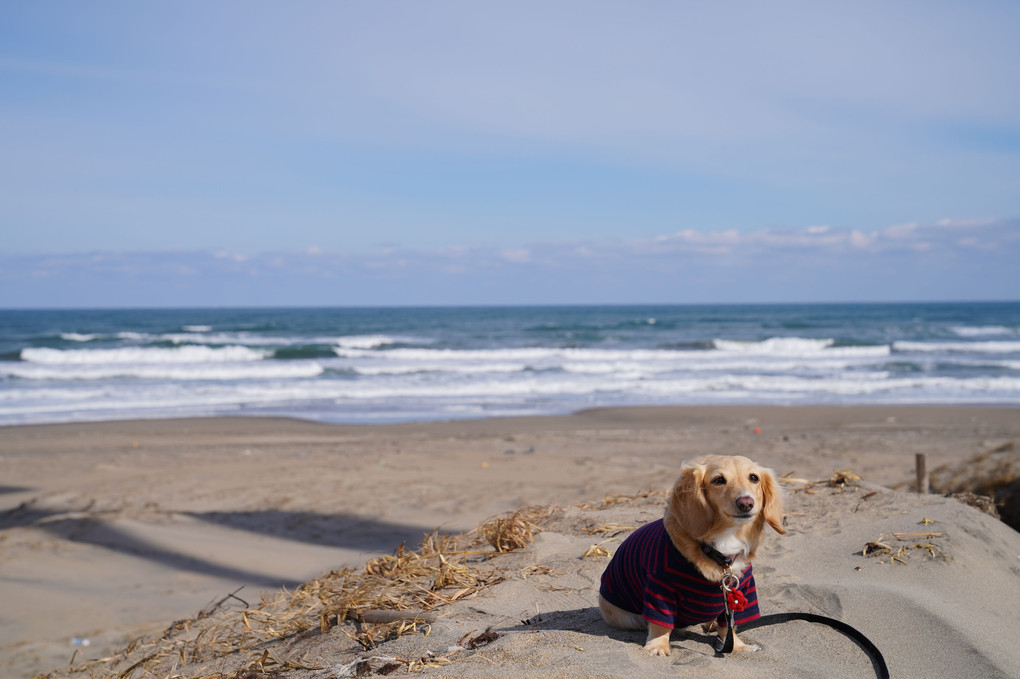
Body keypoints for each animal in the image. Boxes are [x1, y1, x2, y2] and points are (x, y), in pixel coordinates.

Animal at [599, 452, 783, 652]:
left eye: (754, 478)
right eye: (718, 480)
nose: (746, 503)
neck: (720, 550)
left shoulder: (741, 591)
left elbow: (729, 626)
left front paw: (738, 646)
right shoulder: (660, 589)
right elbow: (661, 624)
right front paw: (658, 646)